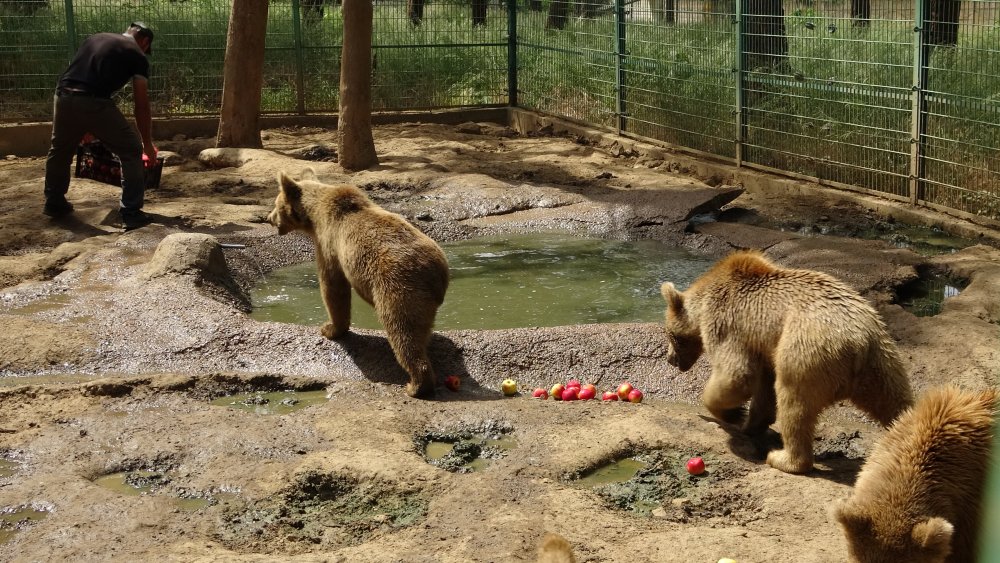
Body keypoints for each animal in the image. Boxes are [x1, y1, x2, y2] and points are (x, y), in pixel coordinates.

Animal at [270, 170, 450, 398]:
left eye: (276, 204)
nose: (268, 218)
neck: (314, 215)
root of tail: (438, 271)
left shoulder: (329, 244)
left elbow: (333, 287)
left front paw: (330, 328)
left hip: (398, 287)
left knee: (403, 331)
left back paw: (415, 385)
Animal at [660, 249, 916, 474]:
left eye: (670, 334)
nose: (670, 359)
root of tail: (858, 341)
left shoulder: (727, 321)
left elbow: (737, 374)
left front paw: (733, 414)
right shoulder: (763, 345)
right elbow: (762, 387)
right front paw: (750, 424)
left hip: (806, 352)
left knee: (795, 403)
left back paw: (784, 459)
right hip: (882, 360)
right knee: (895, 402)